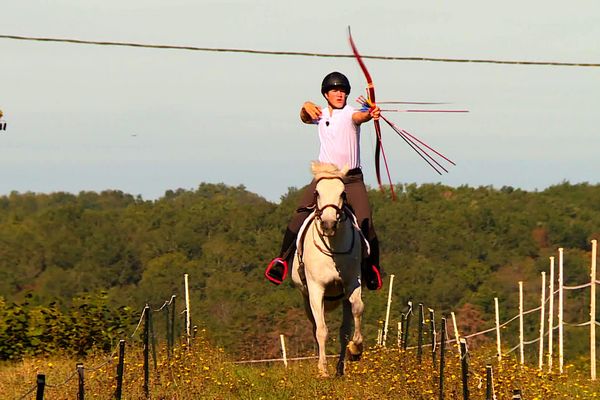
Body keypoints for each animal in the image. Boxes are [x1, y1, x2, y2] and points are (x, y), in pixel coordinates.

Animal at [290, 161, 366, 376]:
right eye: (317, 192)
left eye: (342, 193)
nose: (329, 224)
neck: (333, 249)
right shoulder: (316, 289)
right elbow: (321, 330)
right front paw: (322, 370)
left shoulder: (352, 282)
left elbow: (358, 308)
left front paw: (355, 350)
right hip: (307, 299)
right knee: (316, 327)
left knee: (344, 330)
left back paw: (341, 369)